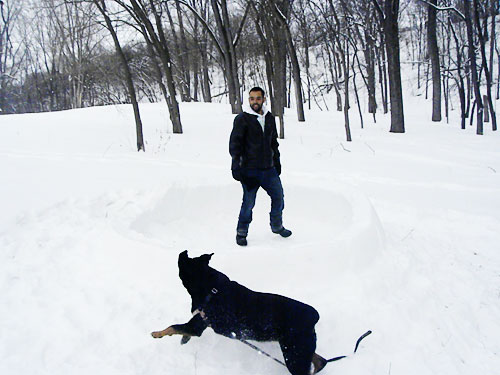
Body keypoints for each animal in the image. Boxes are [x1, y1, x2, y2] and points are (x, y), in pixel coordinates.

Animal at [152, 251, 332, 374]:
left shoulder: (196, 325)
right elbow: (181, 329)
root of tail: (314, 316)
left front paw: (157, 333)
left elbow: (173, 326)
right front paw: (183, 339)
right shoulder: (198, 323)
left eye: (187, 262)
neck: (210, 288)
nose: (183, 252)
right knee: (320, 360)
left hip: (294, 354)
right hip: (300, 349)